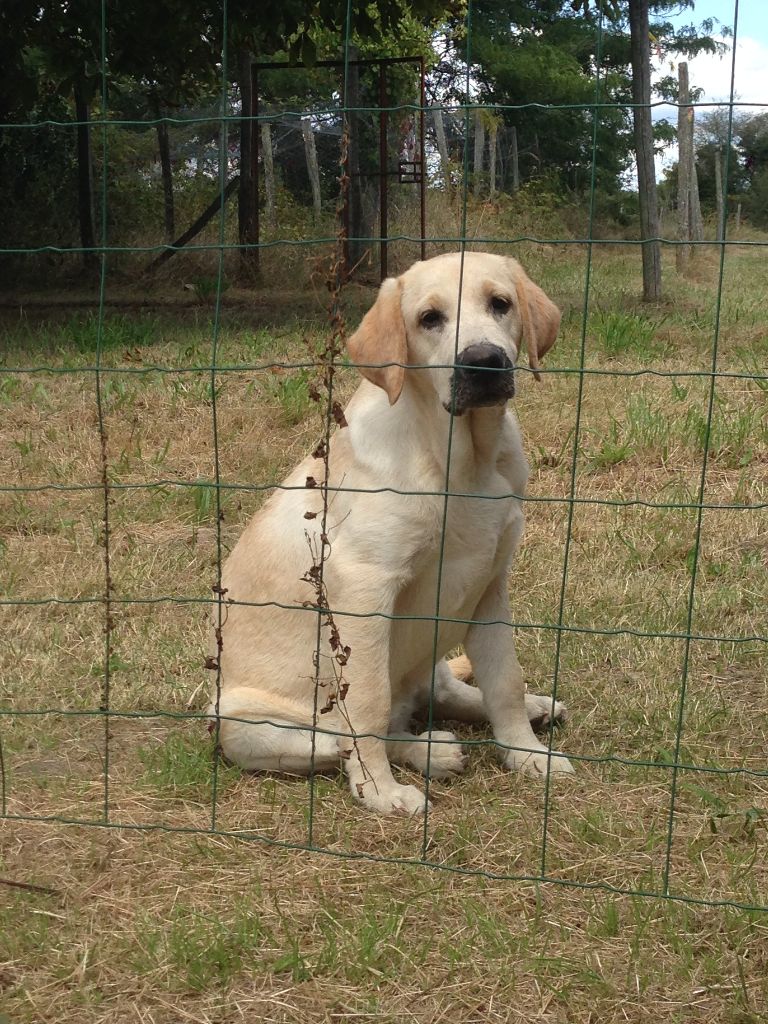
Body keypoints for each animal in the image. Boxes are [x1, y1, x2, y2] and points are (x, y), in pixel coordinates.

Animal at [208, 253, 573, 815]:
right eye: (429, 319)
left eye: (501, 304)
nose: (484, 362)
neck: (461, 461)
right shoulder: (366, 590)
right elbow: (368, 706)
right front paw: (379, 791)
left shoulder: (490, 585)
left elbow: (505, 681)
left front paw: (528, 755)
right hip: (239, 719)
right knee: (337, 736)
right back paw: (429, 752)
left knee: (446, 692)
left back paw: (530, 709)